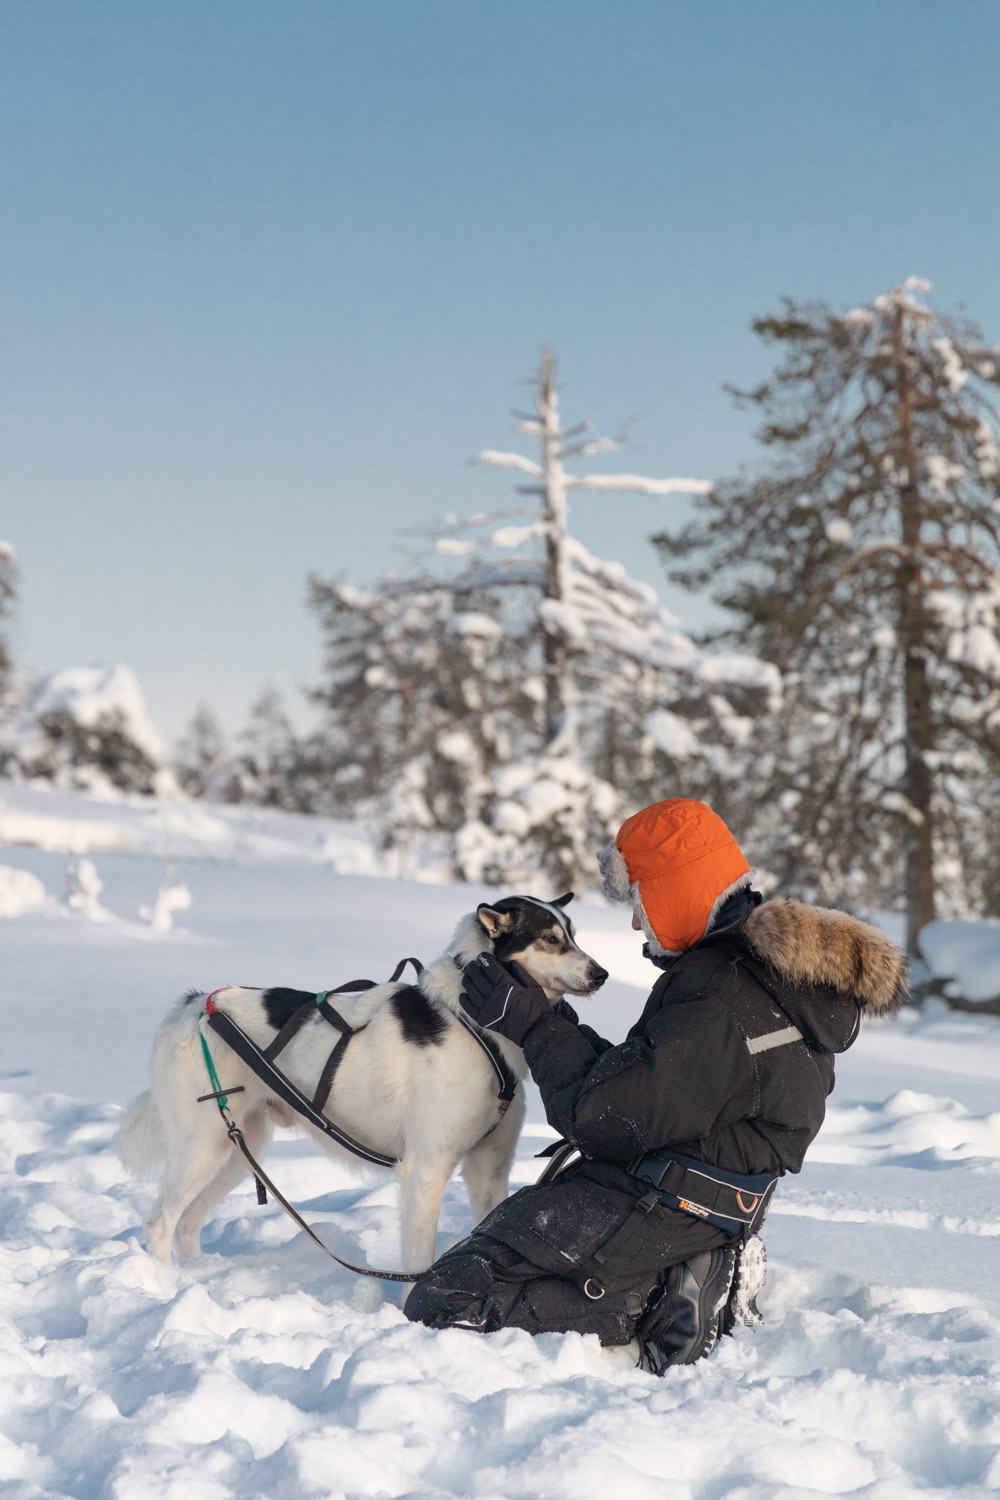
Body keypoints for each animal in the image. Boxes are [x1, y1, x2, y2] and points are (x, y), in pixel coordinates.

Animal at [117, 894, 602, 1272]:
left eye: (573, 935)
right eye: (551, 939)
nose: (601, 973)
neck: (472, 1022)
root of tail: (194, 1005)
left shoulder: (489, 1169)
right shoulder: (425, 1171)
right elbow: (419, 1264)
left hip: (239, 1150)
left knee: (187, 1222)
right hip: (204, 1146)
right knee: (159, 1223)